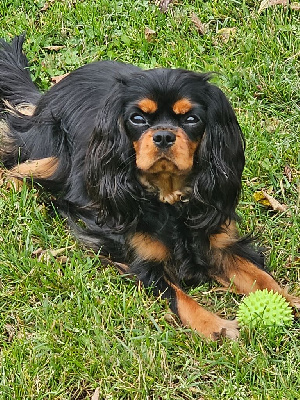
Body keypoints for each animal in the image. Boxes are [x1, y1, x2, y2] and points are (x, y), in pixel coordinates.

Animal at [0, 36, 298, 340]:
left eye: (191, 119)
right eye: (137, 119)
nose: (164, 136)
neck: (168, 198)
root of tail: (46, 97)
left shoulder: (220, 244)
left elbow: (260, 277)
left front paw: (288, 301)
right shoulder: (143, 264)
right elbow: (182, 299)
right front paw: (216, 326)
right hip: (55, 156)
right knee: (15, 164)